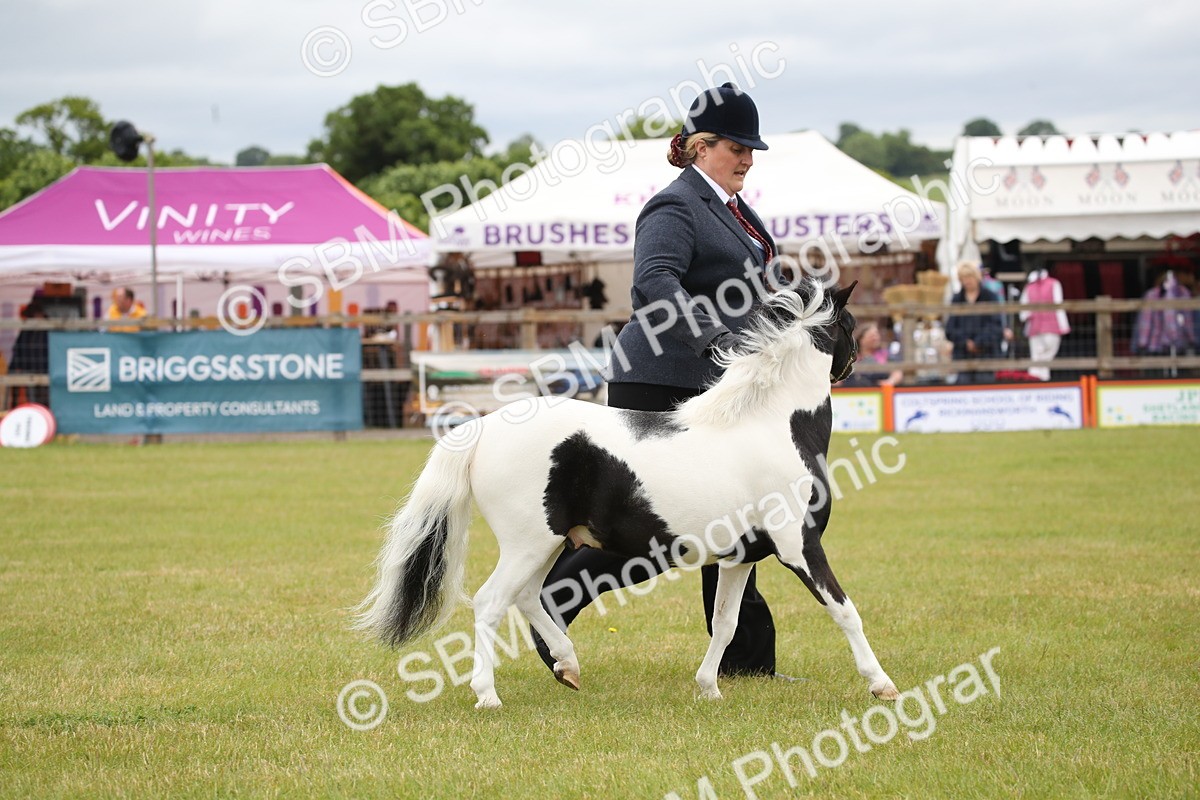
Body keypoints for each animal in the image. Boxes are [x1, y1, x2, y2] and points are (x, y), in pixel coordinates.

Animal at [355, 280, 900, 709]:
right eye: (853, 325)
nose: (853, 367)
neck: (772, 426)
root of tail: (484, 427)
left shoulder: (741, 557)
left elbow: (725, 622)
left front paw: (709, 688)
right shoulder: (798, 545)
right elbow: (844, 609)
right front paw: (882, 686)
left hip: (548, 542)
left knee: (529, 597)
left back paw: (568, 667)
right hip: (529, 541)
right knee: (492, 602)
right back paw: (488, 695)